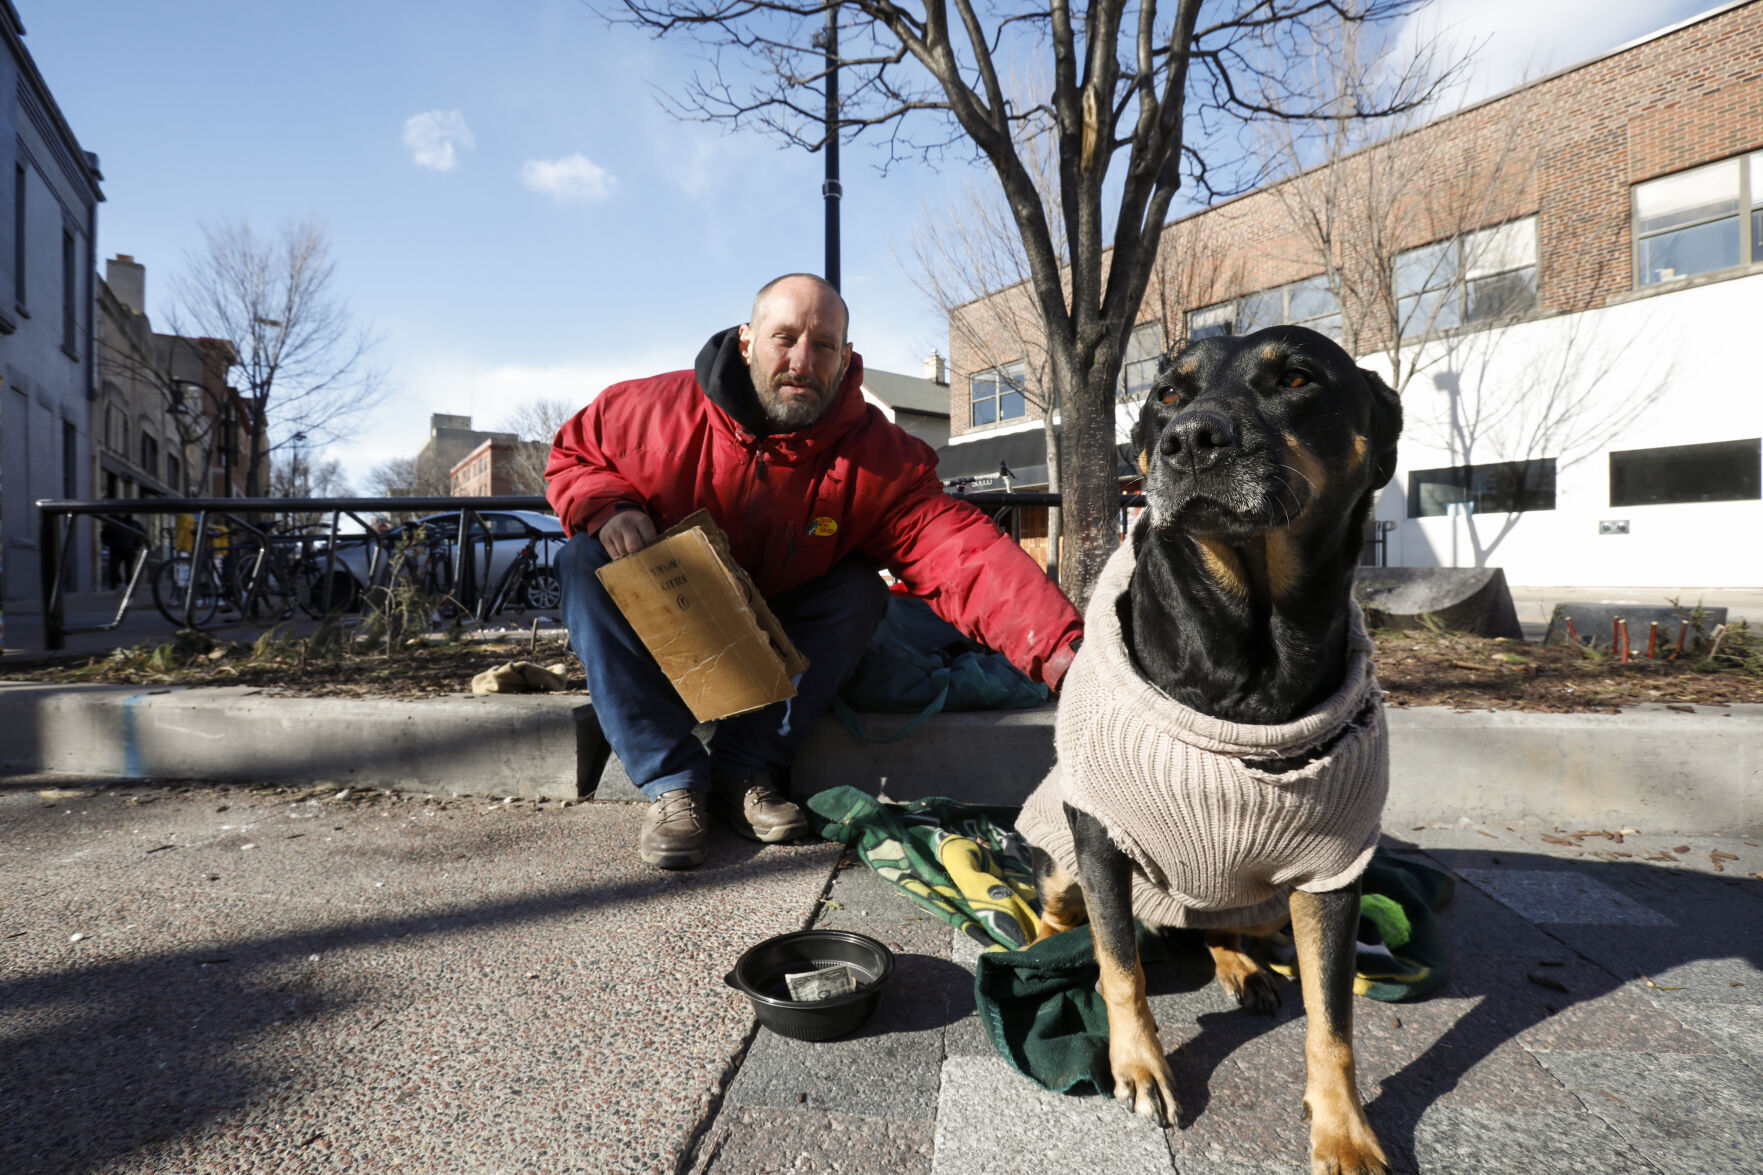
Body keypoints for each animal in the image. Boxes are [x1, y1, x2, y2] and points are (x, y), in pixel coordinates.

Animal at [1022, 322, 1403, 1171]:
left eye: (1296, 377)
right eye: (1168, 390)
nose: (1190, 438)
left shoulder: (1333, 870)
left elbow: (1332, 1019)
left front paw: (1344, 1129)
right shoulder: (1095, 832)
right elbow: (1119, 964)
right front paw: (1138, 1065)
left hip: (1265, 903)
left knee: (1223, 928)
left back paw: (1238, 964)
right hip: (1062, 864)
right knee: (1070, 914)